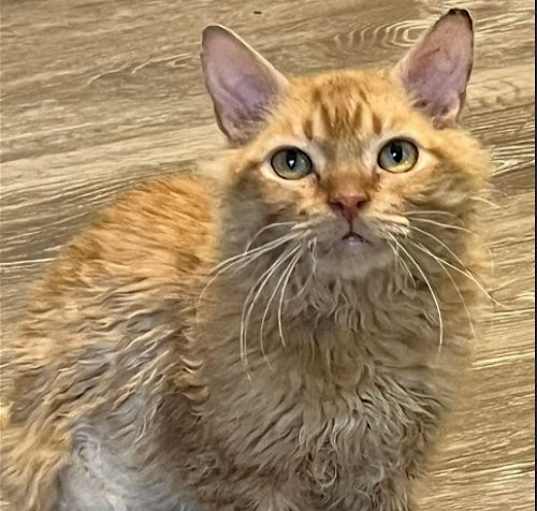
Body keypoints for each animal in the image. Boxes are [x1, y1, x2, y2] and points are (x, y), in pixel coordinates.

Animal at [0, 9, 488, 511]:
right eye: (291, 164)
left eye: (397, 155)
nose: (349, 201)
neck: (353, 317)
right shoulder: (244, 473)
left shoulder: (387, 470)